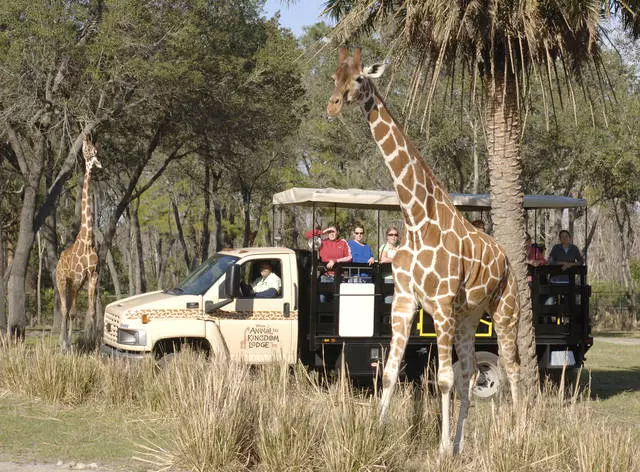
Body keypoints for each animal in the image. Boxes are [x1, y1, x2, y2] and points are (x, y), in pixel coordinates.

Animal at [330, 48, 520, 454]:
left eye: (359, 78)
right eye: (335, 77)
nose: (332, 105)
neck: (417, 220)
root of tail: (506, 257)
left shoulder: (442, 304)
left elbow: (443, 380)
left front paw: (442, 449)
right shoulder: (405, 302)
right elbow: (389, 373)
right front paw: (378, 435)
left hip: (504, 308)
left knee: (512, 369)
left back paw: (521, 433)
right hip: (469, 316)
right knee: (470, 373)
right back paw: (463, 442)